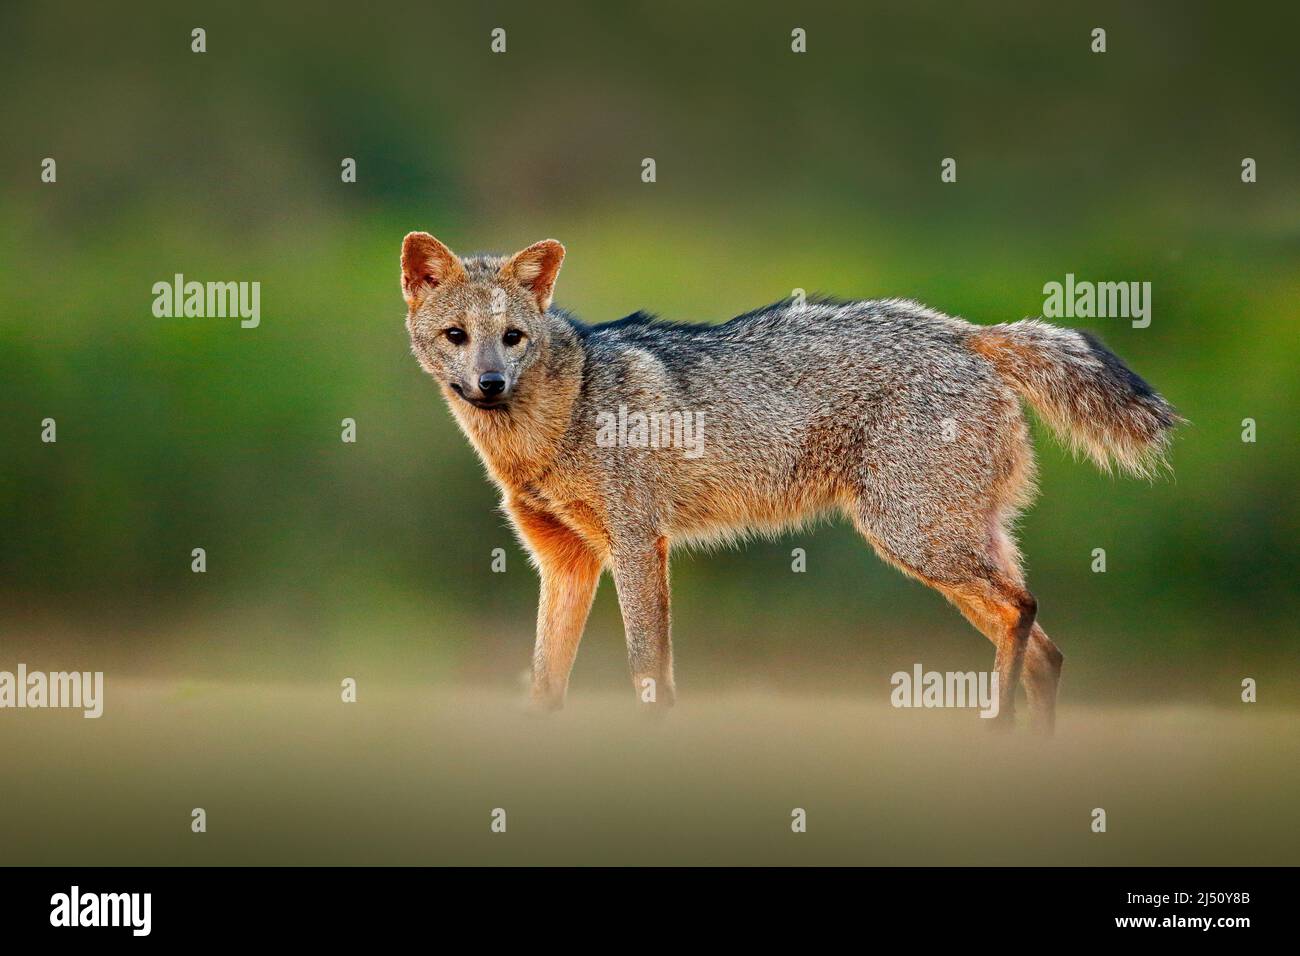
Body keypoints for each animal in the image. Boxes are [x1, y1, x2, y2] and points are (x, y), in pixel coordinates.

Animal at [400, 231, 1185, 733]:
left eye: (512, 338)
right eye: (457, 337)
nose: (490, 385)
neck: (556, 419)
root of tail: (964, 330)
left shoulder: (637, 544)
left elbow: (648, 668)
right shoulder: (567, 562)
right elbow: (544, 682)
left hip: (918, 542)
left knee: (1024, 608)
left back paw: (995, 725)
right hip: (941, 552)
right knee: (1045, 649)